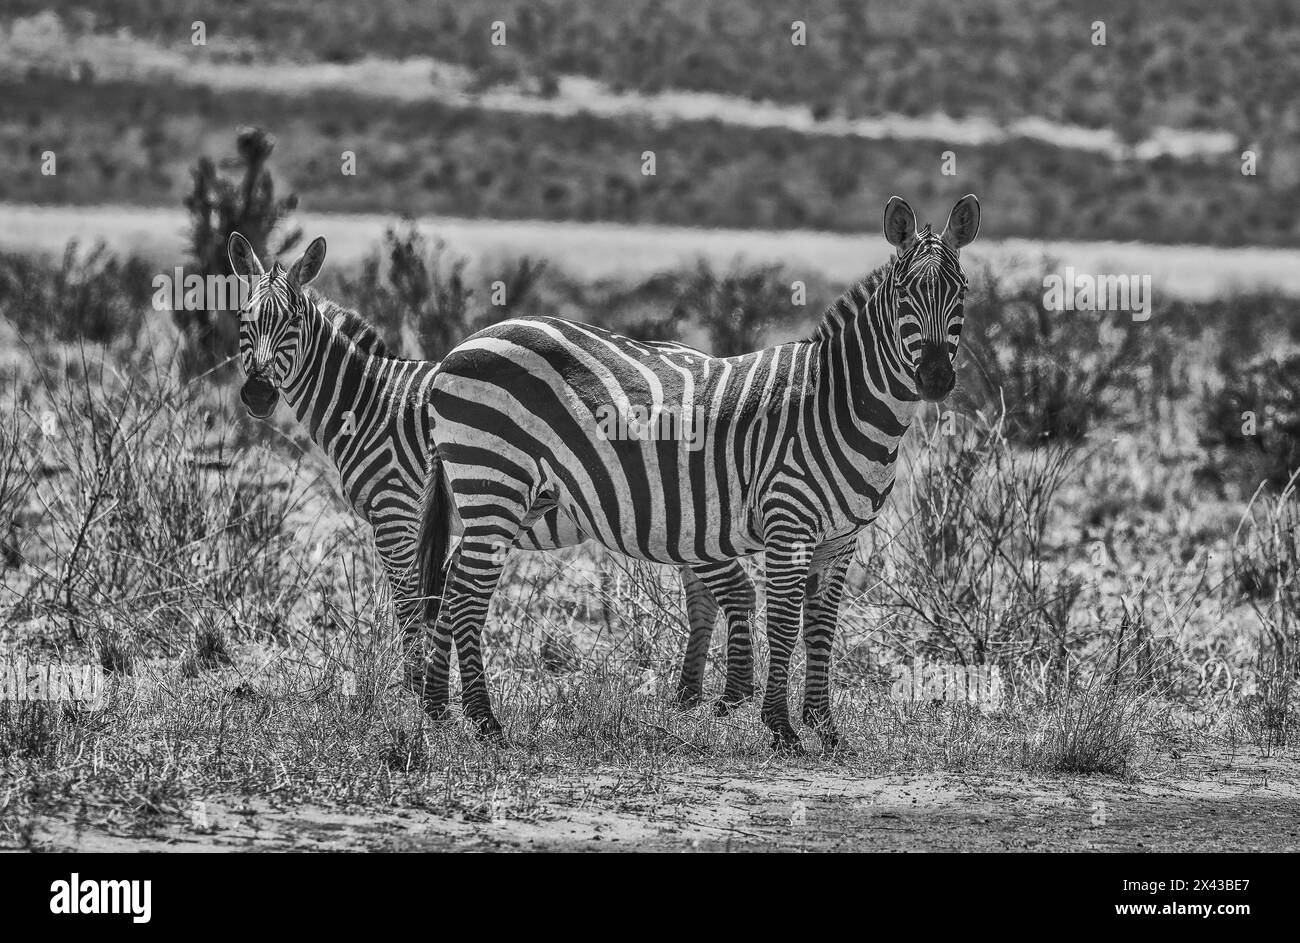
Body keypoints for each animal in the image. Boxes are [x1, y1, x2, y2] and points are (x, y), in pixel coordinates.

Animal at [224, 234, 759, 712]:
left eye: (293, 321)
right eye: (243, 319)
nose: (257, 395)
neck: (370, 402)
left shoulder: (396, 513)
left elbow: (411, 605)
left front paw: (417, 689)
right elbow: (441, 598)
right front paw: (440, 693)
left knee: (726, 589)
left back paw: (725, 700)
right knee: (703, 595)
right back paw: (688, 697)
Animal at [421, 195, 977, 749]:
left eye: (962, 292)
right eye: (904, 293)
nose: (935, 379)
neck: (838, 403)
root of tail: (465, 343)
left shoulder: (841, 538)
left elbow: (821, 627)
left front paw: (826, 729)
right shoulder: (788, 522)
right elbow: (783, 624)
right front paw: (780, 728)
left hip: (517, 496)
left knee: (450, 580)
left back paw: (436, 709)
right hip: (494, 480)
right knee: (467, 590)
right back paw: (483, 721)